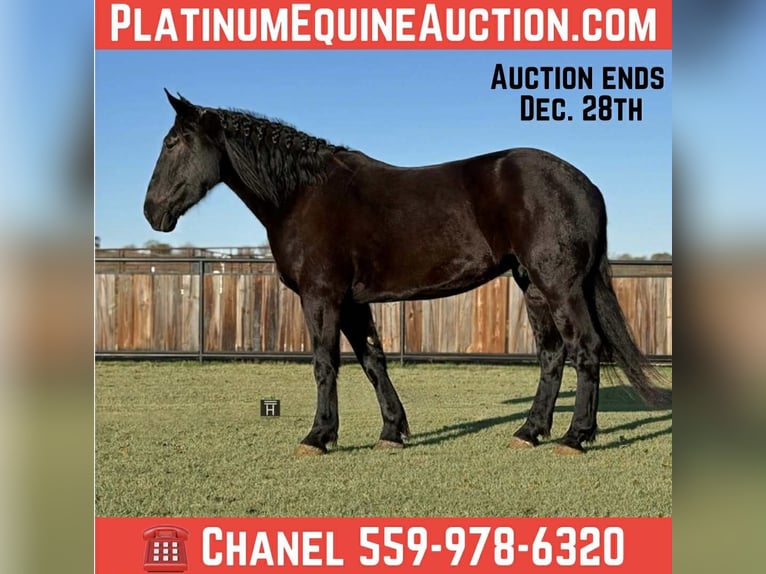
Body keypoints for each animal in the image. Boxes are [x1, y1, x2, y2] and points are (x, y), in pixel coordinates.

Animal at [143, 90, 670, 456]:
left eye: (173, 143)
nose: (152, 212)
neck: (303, 194)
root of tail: (585, 183)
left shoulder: (321, 297)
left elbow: (325, 364)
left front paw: (318, 436)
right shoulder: (353, 302)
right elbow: (373, 361)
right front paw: (392, 431)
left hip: (559, 285)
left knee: (586, 349)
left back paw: (575, 436)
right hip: (532, 285)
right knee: (552, 354)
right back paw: (529, 431)